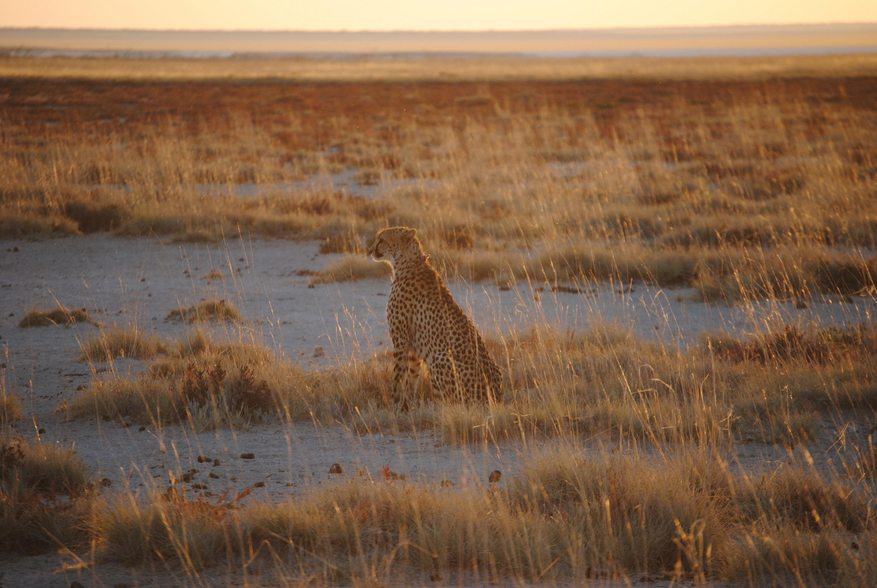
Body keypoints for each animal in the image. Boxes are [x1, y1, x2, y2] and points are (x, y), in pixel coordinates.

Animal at [368, 226, 504, 404]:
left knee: (451, 402)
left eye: (382, 239)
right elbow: (411, 376)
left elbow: (398, 377)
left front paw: (395, 403)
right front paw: (407, 404)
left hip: (439, 357)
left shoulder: (401, 339)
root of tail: (494, 397)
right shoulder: (413, 344)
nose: (370, 250)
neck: (408, 262)